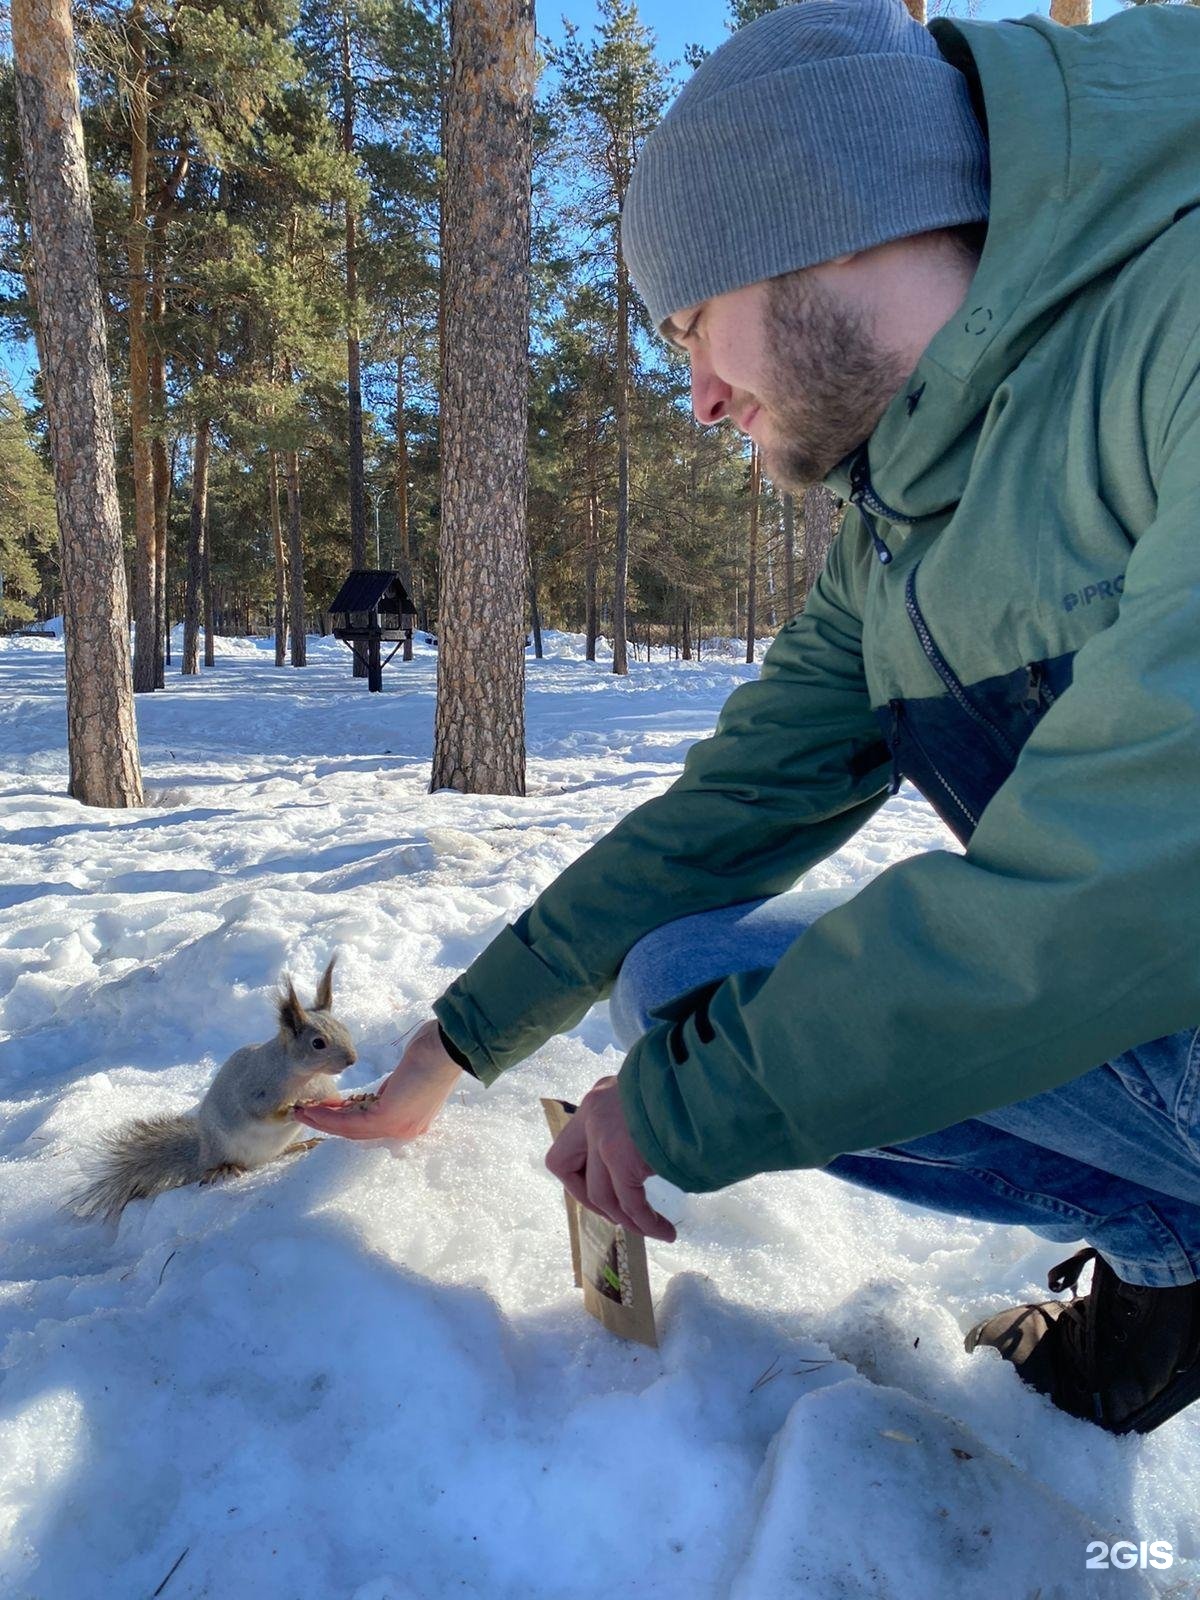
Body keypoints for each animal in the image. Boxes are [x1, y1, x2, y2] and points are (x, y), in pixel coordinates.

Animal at [68, 947, 360, 1222]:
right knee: (216, 1166)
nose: (352, 1059)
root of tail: (201, 1154)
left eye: (345, 1029)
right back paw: (223, 1168)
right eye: (317, 1043)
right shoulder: (258, 1089)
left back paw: (299, 1145)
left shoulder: (323, 1088)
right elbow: (264, 1113)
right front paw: (292, 1109)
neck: (305, 1077)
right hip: (221, 1145)